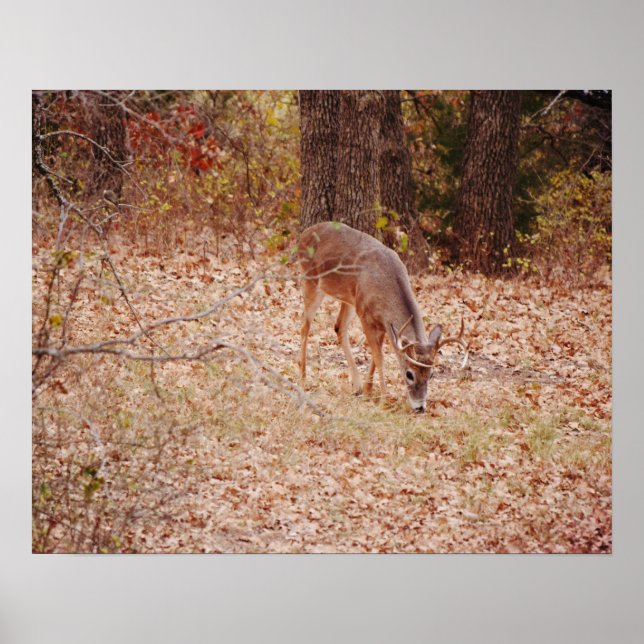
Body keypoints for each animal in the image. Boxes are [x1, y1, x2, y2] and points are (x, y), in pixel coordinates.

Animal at [297, 221, 469, 413]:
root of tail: (304, 234)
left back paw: (356, 386)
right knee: (305, 326)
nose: (420, 407)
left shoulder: (383, 324)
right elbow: (380, 357)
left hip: (349, 298)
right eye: (409, 374)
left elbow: (375, 355)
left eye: (431, 375)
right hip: (311, 281)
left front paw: (367, 391)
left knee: (338, 327)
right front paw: (384, 399)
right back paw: (303, 378)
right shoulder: (365, 315)